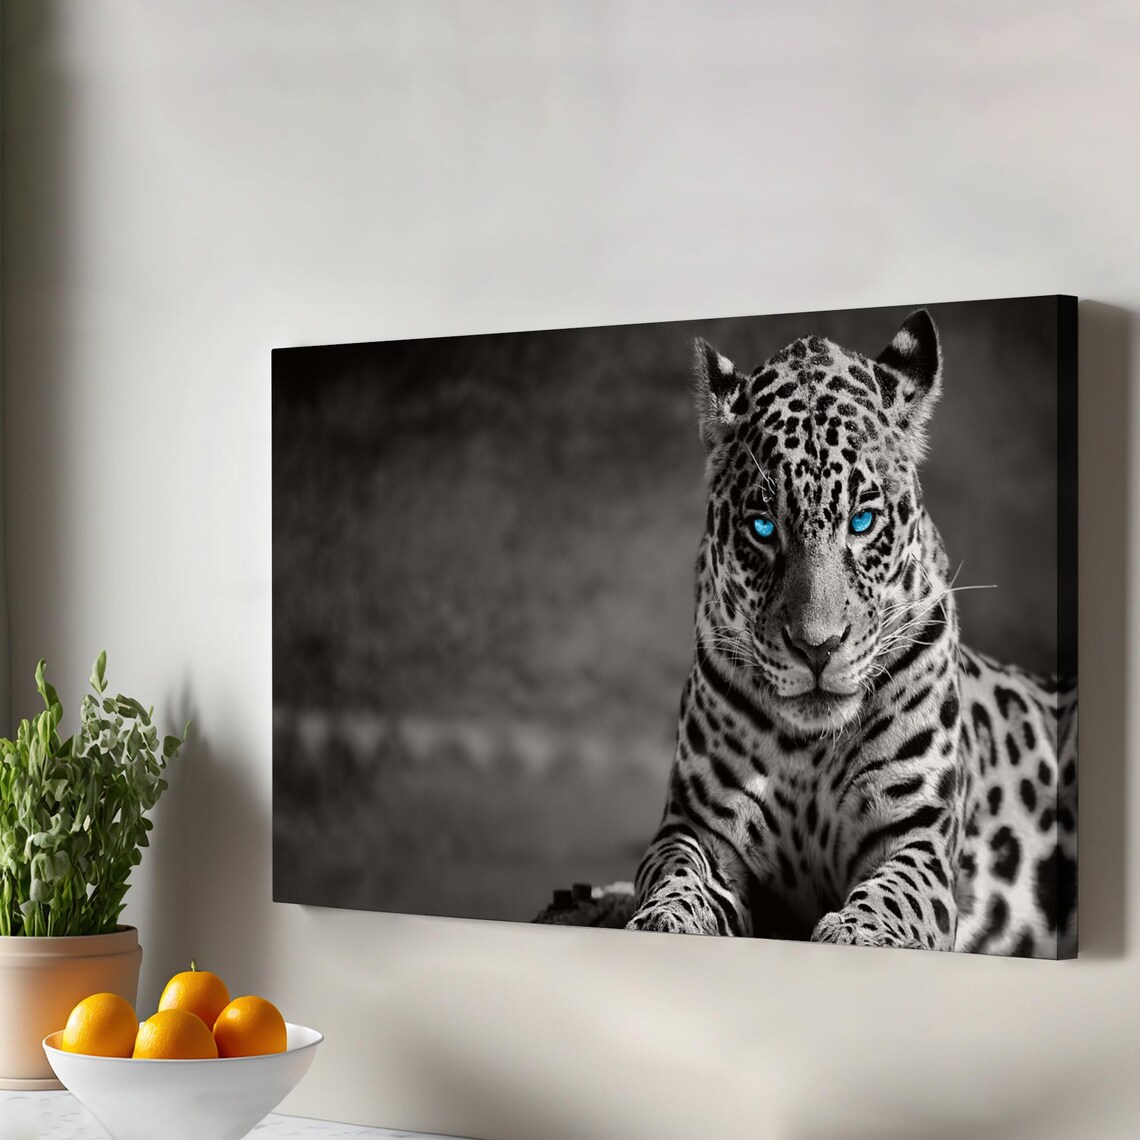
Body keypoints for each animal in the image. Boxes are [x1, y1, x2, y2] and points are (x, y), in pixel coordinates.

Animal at [624, 309, 1077, 957]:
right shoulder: (696, 828)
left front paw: (859, 930)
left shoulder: (916, 838)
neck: (809, 750)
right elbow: (676, 872)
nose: (817, 647)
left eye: (862, 521)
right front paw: (666, 919)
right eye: (763, 527)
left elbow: (894, 893)